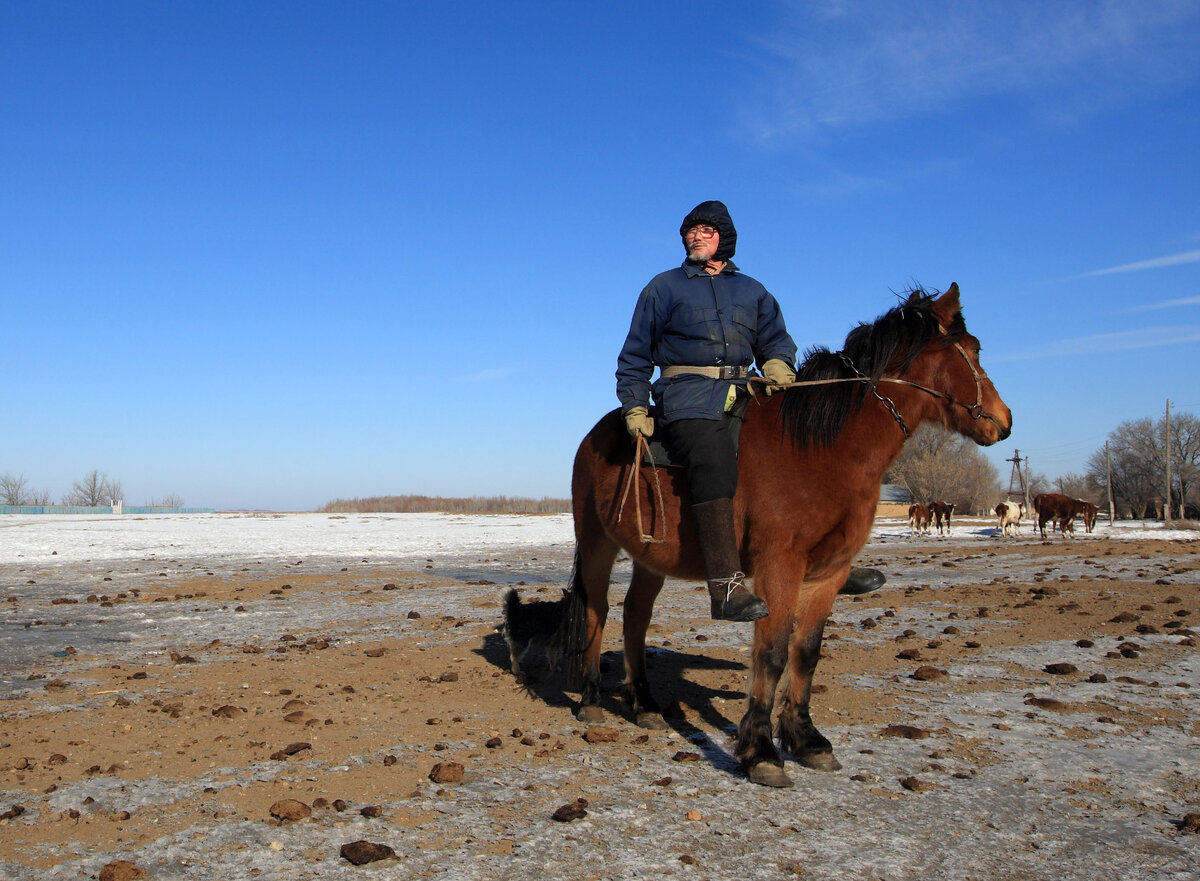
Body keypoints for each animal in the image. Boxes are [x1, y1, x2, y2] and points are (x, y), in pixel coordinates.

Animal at [559, 286, 1003, 792]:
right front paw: (761, 751)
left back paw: (646, 705)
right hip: (598, 544)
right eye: (974, 351)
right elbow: (770, 655)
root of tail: (597, 436)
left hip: (651, 556)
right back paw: (591, 700)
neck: (821, 449)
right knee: (596, 611)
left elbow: (805, 653)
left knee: (636, 616)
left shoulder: (827, 573)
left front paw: (807, 740)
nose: (1002, 421)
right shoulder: (780, 567)